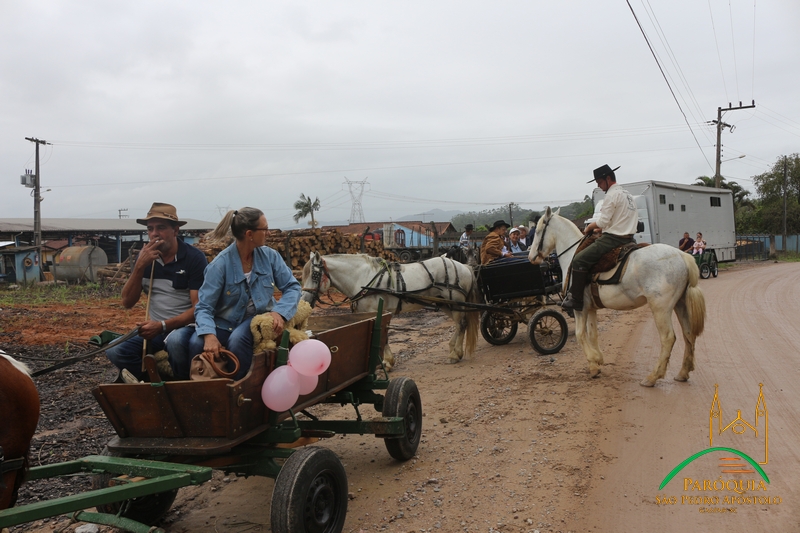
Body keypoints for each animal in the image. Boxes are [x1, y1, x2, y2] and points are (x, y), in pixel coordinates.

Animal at [298, 252, 476, 368]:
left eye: (314, 275)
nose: (304, 301)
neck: (362, 278)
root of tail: (464, 266)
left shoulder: (377, 311)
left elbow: (382, 336)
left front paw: (387, 362)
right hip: (446, 304)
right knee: (459, 324)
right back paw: (453, 348)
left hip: (456, 302)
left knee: (462, 324)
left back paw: (455, 354)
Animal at [532, 206, 708, 384]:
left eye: (538, 231)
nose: (531, 257)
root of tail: (682, 255)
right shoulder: (591, 308)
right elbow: (593, 334)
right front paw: (597, 361)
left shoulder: (579, 308)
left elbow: (580, 335)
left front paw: (593, 364)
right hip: (680, 304)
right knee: (688, 334)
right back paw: (683, 372)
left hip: (660, 308)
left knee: (668, 338)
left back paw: (653, 377)